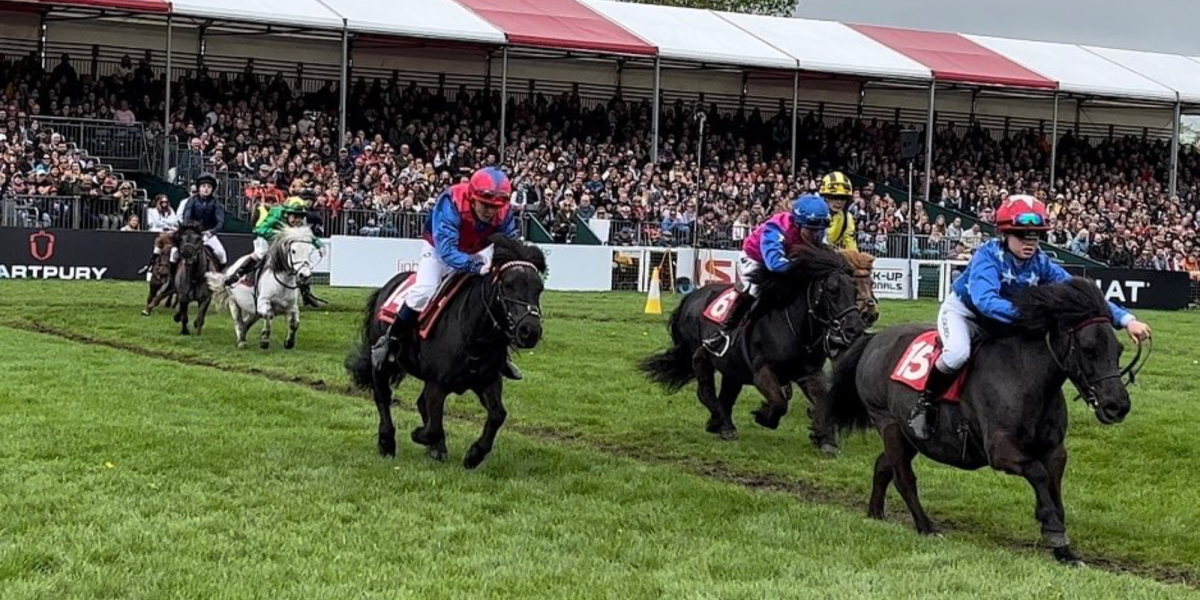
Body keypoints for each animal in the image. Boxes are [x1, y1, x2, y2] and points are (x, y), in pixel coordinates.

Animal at [345, 234, 547, 468]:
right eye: (508, 285)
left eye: (539, 288)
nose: (529, 331)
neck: (474, 333)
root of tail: (385, 288)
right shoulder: (437, 384)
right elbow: (433, 426)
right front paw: (419, 435)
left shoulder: (488, 379)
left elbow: (497, 415)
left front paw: (474, 454)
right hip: (382, 363)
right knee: (383, 396)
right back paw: (387, 442)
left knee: (419, 403)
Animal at [643, 243, 868, 446]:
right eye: (832, 290)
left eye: (854, 290)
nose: (854, 328)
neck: (797, 328)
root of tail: (691, 297)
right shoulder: (763, 372)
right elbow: (779, 402)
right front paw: (764, 416)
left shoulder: (809, 373)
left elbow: (823, 400)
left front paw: (825, 438)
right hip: (701, 354)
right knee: (705, 388)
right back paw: (719, 421)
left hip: (732, 368)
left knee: (726, 396)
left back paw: (723, 426)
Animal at [830, 278, 1147, 564]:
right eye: (1088, 348)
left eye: (1118, 350)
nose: (1117, 406)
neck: (1025, 375)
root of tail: (874, 339)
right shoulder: (1000, 449)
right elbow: (1037, 473)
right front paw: (1052, 528)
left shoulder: (1055, 450)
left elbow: (1054, 487)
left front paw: (1065, 550)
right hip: (890, 424)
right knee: (903, 478)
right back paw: (926, 527)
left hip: (909, 438)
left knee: (883, 466)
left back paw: (875, 513)